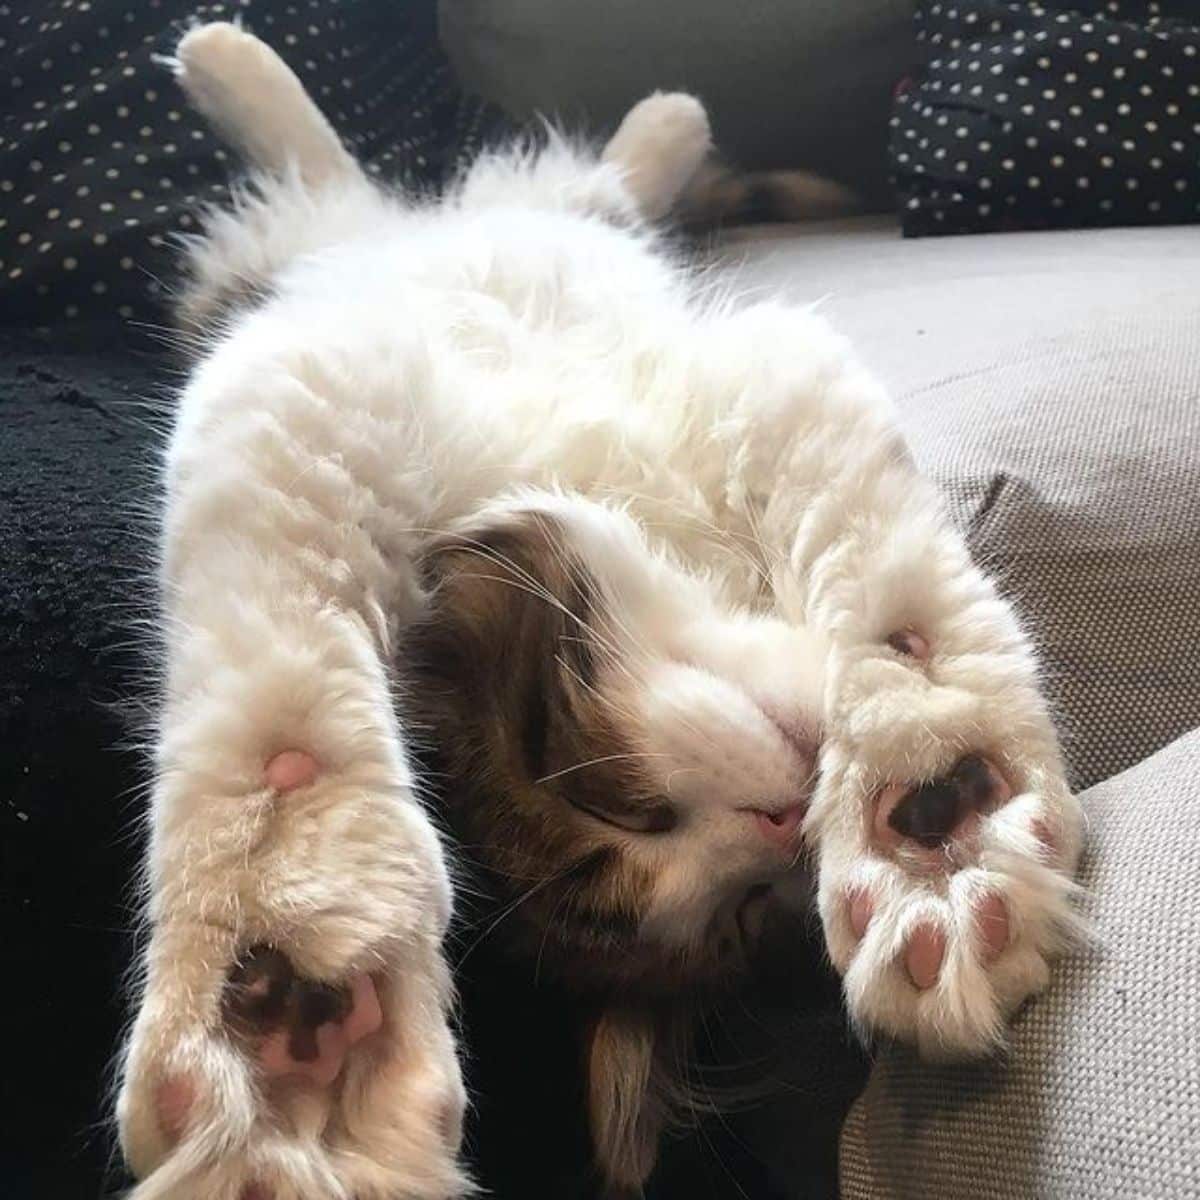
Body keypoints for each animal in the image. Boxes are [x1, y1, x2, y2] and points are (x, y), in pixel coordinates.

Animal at [117, 21, 1084, 1200]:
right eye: (751, 904)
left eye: (613, 800)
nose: (784, 816)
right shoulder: (291, 397)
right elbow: (275, 737)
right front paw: (284, 1028)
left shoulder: (756, 370)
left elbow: (895, 594)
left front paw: (936, 827)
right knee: (346, 174)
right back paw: (229, 59)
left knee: (537, 182)